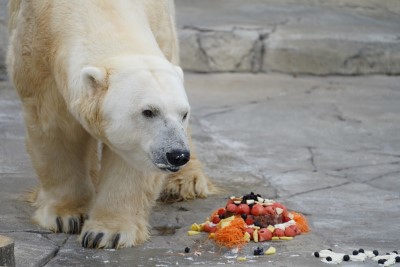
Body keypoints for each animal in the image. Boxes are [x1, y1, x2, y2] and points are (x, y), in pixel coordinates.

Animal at [6, 0, 214, 250]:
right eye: (148, 111)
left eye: (184, 113)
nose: (177, 155)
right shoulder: (35, 53)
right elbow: (56, 129)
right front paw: (66, 216)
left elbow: (130, 159)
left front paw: (105, 233)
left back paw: (186, 182)